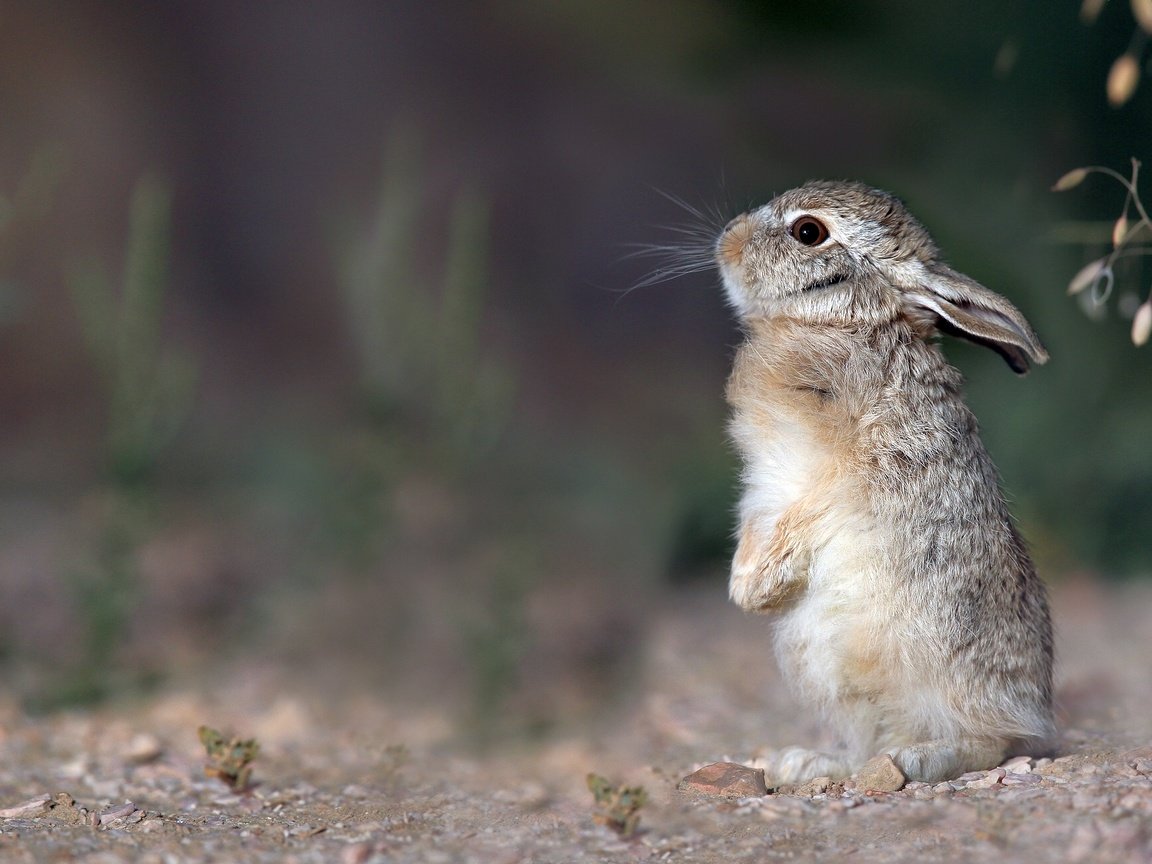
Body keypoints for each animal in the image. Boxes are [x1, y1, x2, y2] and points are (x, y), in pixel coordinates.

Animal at [718, 179, 1055, 787]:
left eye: (808, 231)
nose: (727, 239)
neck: (844, 323)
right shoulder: (763, 490)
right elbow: (759, 523)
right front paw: (748, 590)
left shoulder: (847, 472)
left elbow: (810, 513)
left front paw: (754, 590)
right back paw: (809, 763)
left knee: (990, 743)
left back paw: (919, 758)